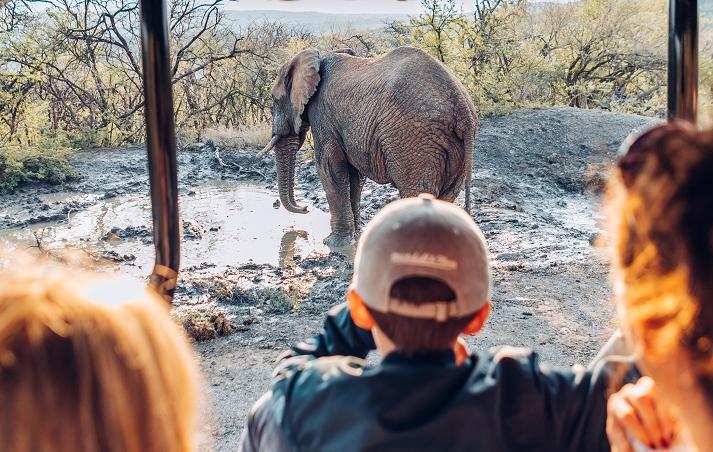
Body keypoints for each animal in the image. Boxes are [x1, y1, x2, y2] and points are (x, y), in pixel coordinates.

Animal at [258, 46, 476, 247]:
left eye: (274, 100)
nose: (304, 208)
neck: (317, 57)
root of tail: (463, 108)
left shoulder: (323, 115)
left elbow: (329, 168)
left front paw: (333, 244)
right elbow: (354, 175)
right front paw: (355, 238)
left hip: (415, 139)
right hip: (453, 147)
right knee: (446, 196)